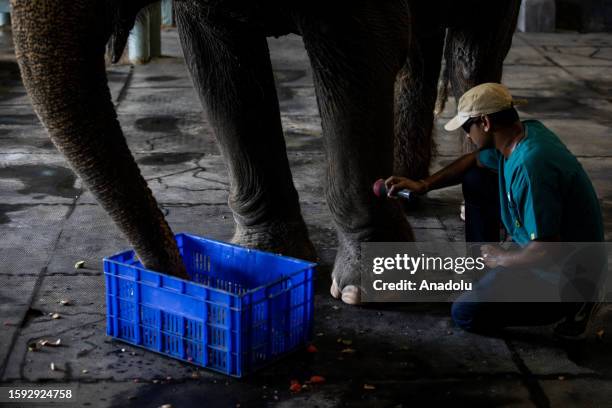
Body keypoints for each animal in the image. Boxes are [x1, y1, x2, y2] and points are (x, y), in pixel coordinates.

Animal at [9, 0, 520, 304]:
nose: (176, 279)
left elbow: (355, 51)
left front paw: (364, 290)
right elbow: (219, 66)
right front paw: (268, 253)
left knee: (474, 52)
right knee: (420, 51)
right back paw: (410, 184)